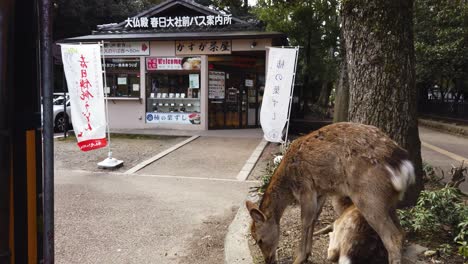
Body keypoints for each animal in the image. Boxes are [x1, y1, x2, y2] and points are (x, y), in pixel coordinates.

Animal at [247, 122, 414, 264]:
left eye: (259, 239)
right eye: (254, 239)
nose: (268, 260)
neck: (289, 184)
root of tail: (404, 165)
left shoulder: (305, 188)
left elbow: (305, 220)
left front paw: (299, 258)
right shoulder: (320, 191)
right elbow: (314, 218)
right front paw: (307, 254)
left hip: (370, 197)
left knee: (393, 237)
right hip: (389, 200)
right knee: (401, 232)